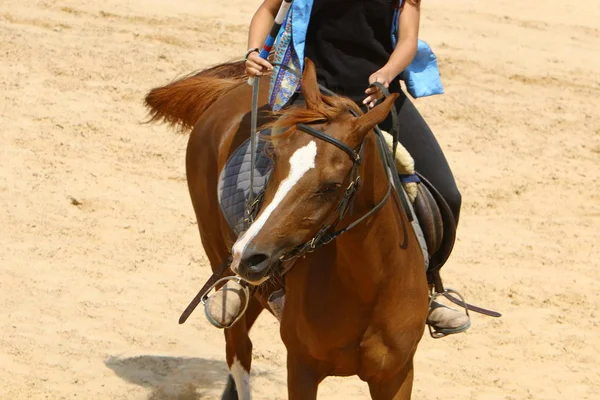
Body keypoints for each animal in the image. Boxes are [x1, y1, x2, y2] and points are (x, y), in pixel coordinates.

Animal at [148, 60, 434, 400]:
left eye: (331, 185)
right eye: (274, 159)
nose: (247, 255)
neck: (369, 289)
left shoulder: (396, 375)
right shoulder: (301, 367)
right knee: (239, 351)